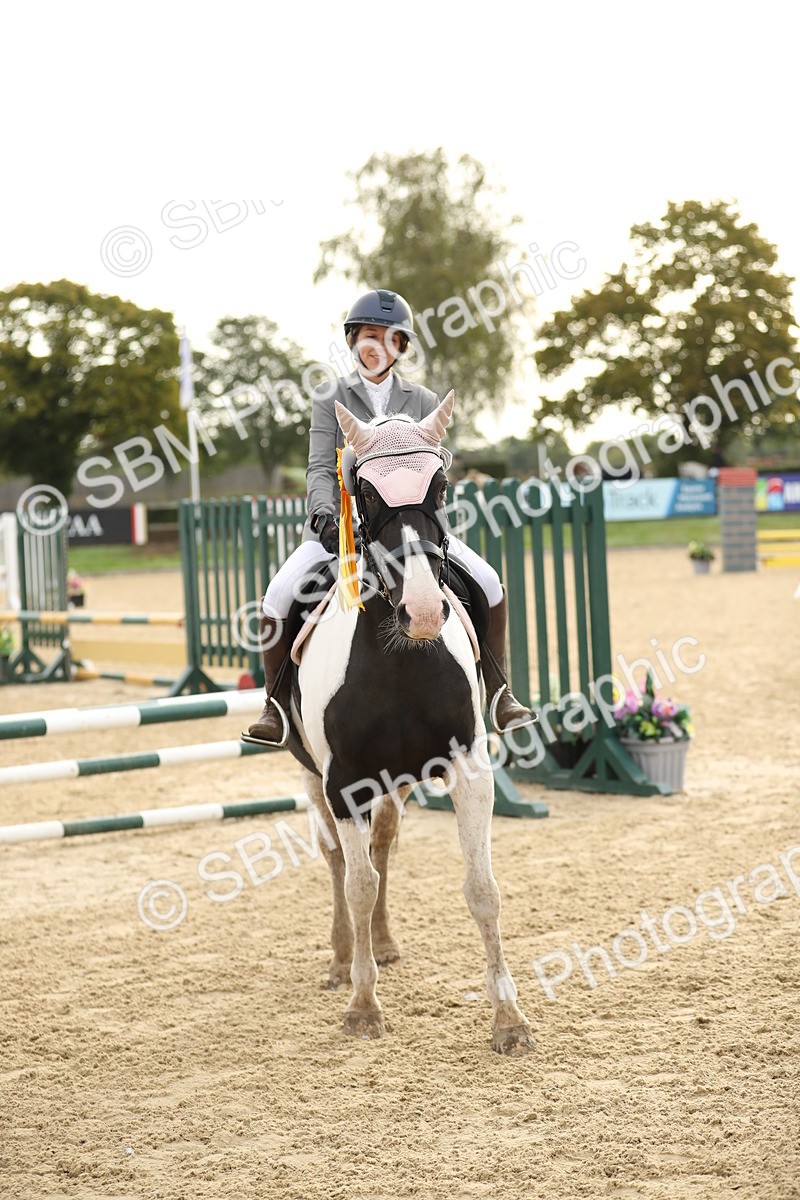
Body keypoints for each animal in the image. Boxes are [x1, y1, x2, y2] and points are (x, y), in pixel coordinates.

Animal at [283, 390, 534, 1056]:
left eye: (441, 486)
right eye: (364, 494)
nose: (422, 611)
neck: (399, 659)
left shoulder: (470, 769)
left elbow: (481, 888)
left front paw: (509, 1020)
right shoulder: (342, 782)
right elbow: (356, 883)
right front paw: (363, 1007)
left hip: (391, 781)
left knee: (383, 845)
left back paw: (384, 943)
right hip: (311, 777)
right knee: (339, 860)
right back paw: (343, 958)